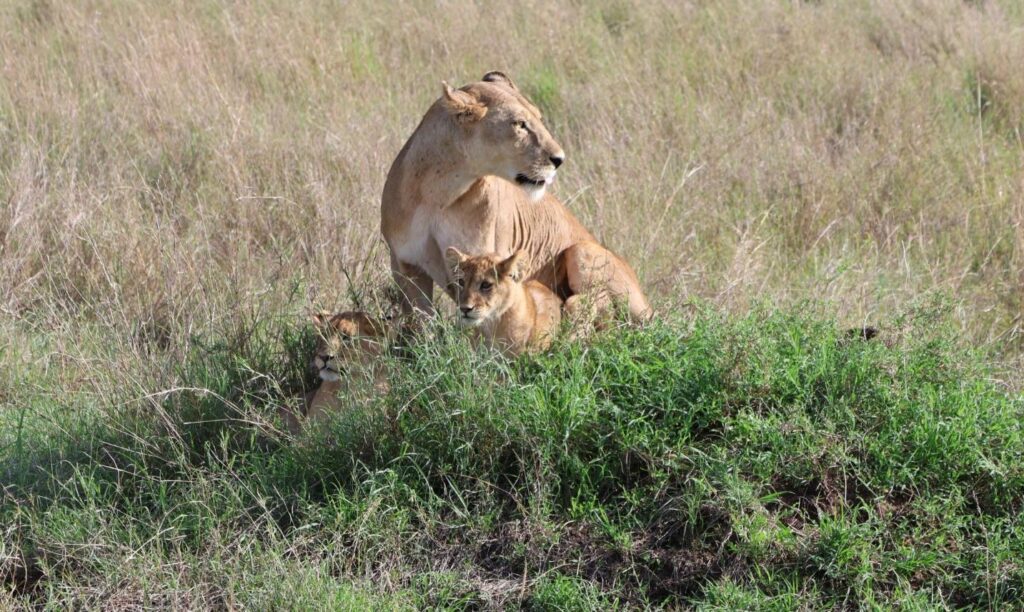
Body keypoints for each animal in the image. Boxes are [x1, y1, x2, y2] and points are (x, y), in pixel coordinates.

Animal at [381, 71, 652, 324]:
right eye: (520, 124)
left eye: (539, 118)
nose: (560, 159)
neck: (440, 193)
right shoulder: (406, 266)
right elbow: (420, 322)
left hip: (583, 251)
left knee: (601, 306)